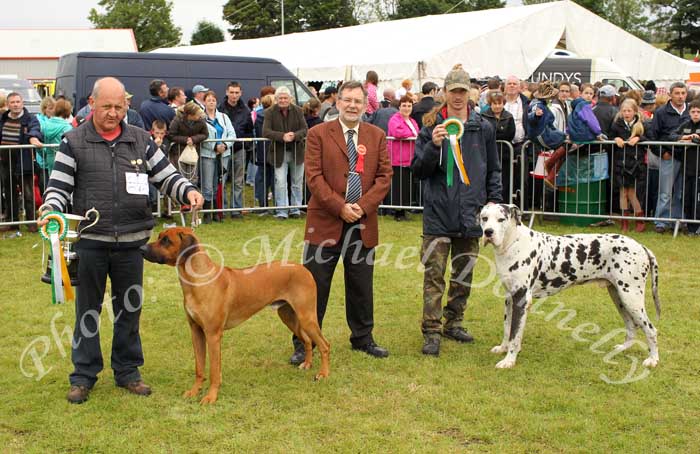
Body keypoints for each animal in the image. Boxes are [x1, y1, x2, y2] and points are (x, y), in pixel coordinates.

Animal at [142, 227, 330, 404]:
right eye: (160, 237)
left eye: (166, 240)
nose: (142, 248)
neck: (199, 281)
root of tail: (302, 268)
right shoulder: (196, 331)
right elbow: (199, 368)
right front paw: (194, 391)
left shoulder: (213, 334)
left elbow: (214, 371)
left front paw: (211, 397)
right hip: (288, 316)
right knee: (307, 340)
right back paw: (307, 364)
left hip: (307, 317)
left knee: (324, 345)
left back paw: (323, 374)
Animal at [478, 205, 660, 368]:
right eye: (484, 218)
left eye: (501, 219)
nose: (488, 232)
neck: (514, 244)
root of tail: (641, 247)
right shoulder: (510, 298)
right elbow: (507, 329)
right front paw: (503, 348)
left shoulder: (521, 299)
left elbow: (515, 336)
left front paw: (509, 360)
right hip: (619, 297)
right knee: (631, 327)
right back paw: (623, 348)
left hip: (631, 298)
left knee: (651, 329)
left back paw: (653, 359)